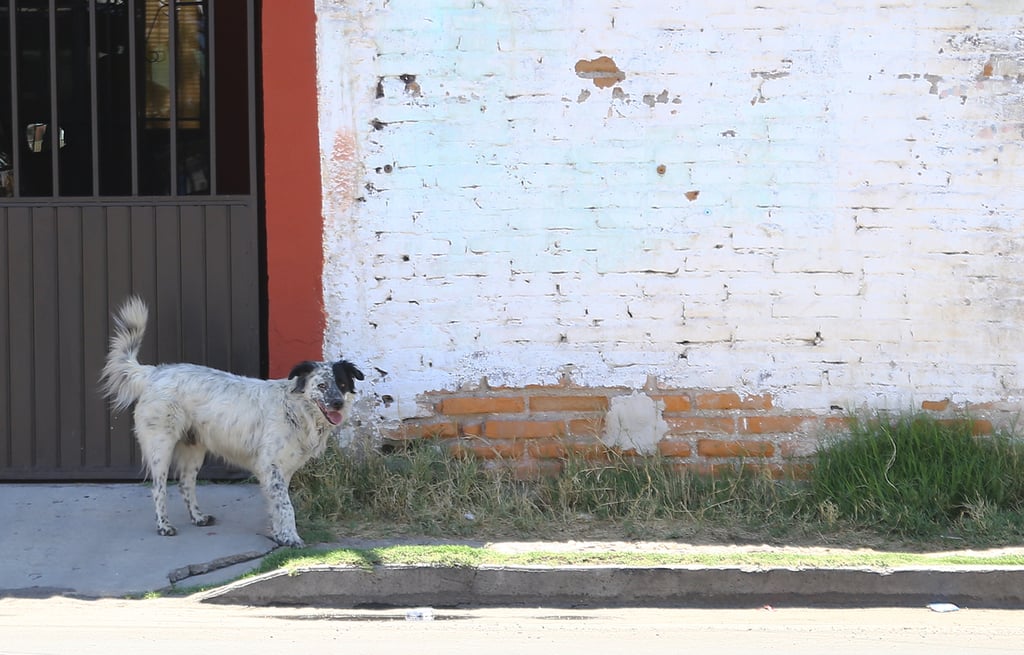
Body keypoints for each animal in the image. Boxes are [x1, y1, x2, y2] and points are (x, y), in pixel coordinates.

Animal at [100, 296, 364, 548]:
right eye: (322, 385)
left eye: (342, 384)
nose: (338, 403)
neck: (296, 409)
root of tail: (154, 372)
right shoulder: (271, 466)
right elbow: (286, 506)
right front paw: (291, 538)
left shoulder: (282, 469)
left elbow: (277, 506)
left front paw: (280, 535)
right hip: (160, 446)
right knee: (159, 487)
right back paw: (164, 526)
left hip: (194, 448)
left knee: (186, 484)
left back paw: (198, 517)